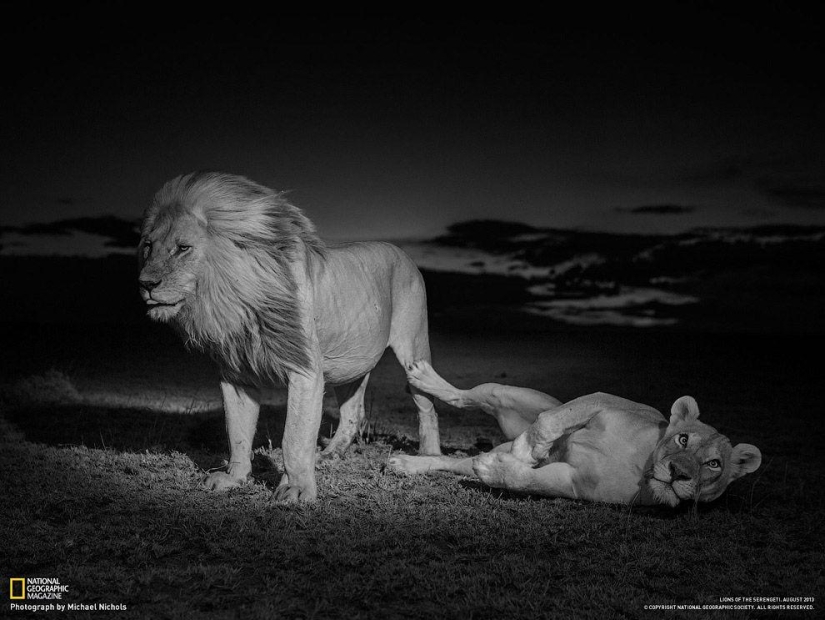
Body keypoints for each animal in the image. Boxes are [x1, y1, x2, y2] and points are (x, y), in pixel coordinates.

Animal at [138, 171, 441, 502]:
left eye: (183, 248)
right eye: (148, 246)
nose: (145, 283)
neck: (232, 300)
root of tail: (402, 252)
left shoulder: (306, 370)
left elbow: (294, 437)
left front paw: (296, 489)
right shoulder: (235, 376)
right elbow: (237, 432)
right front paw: (234, 478)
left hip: (413, 349)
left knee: (427, 406)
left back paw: (427, 457)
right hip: (350, 365)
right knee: (352, 412)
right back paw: (330, 455)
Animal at [390, 361, 762, 506]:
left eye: (713, 464)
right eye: (683, 439)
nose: (678, 472)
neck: (643, 461)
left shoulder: (572, 483)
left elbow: (524, 479)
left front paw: (496, 468)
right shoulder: (599, 399)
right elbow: (547, 425)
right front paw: (527, 450)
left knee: (454, 461)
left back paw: (407, 464)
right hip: (506, 393)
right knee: (466, 396)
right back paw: (421, 376)